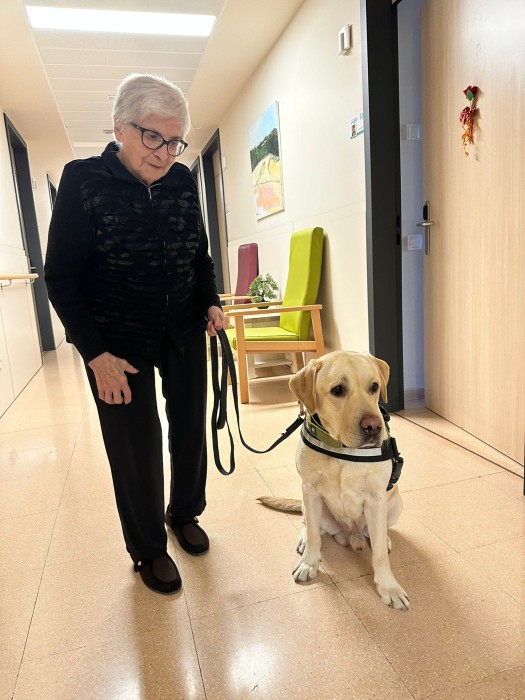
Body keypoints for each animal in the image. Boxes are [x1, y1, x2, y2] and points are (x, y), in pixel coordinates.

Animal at [258, 351, 409, 611]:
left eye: (374, 387)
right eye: (337, 390)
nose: (374, 426)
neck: (342, 449)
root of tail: (351, 535)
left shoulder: (376, 499)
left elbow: (379, 553)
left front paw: (388, 586)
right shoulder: (309, 489)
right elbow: (313, 535)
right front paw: (309, 563)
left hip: (394, 505)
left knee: (377, 533)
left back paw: (384, 538)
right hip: (309, 502)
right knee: (309, 525)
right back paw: (303, 540)